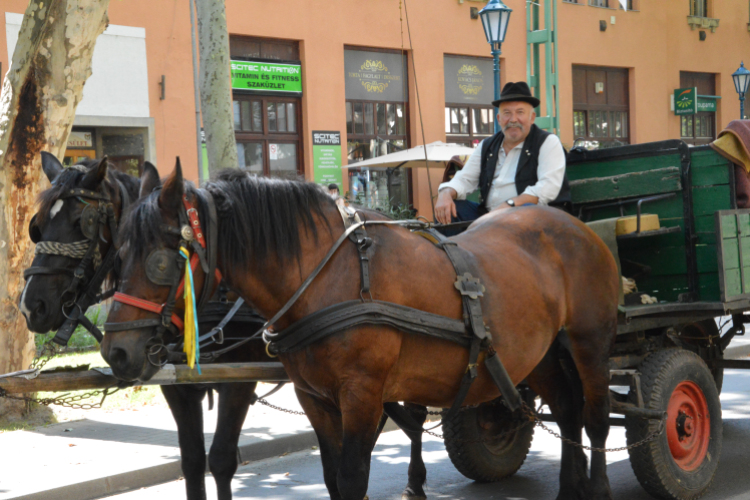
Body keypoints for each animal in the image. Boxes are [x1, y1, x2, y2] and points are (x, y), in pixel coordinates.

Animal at [17, 153, 268, 500]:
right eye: (37, 227)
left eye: (82, 222)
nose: (31, 305)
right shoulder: (176, 386)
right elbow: (192, 461)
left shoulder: (240, 381)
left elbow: (221, 460)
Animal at [106, 165, 624, 500]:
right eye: (119, 252)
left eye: (160, 260)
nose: (116, 351)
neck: (327, 275)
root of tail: (574, 226)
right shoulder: (315, 398)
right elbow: (334, 478)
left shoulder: (362, 394)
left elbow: (355, 477)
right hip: (538, 355)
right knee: (567, 409)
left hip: (591, 341)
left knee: (595, 418)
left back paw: (597, 486)